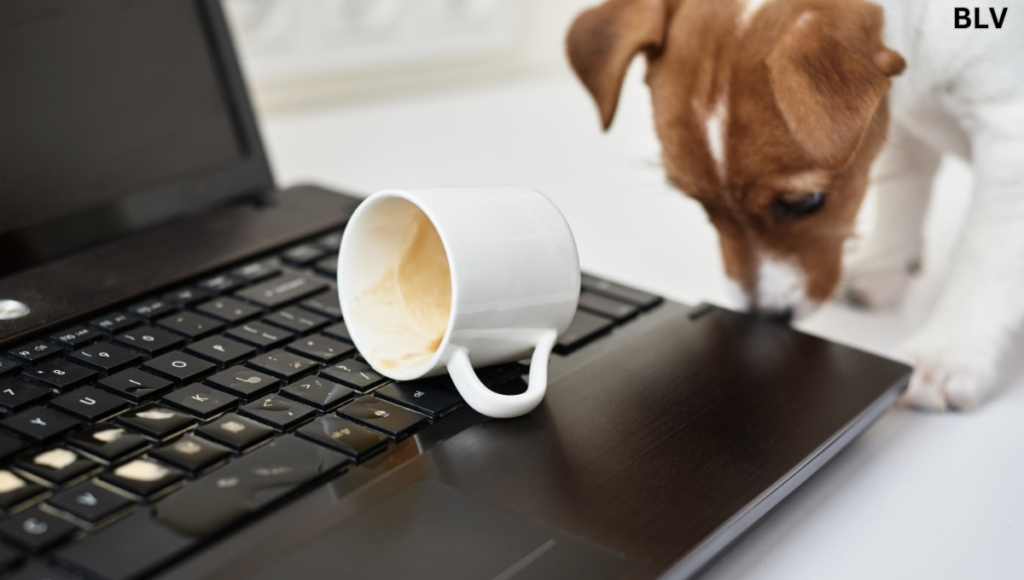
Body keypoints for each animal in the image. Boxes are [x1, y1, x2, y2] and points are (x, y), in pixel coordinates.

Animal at [569, 0, 1024, 411]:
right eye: (698, 202)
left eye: (806, 202)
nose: (765, 318)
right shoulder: (901, 123)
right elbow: (905, 195)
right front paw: (884, 270)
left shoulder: (1007, 141)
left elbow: (982, 262)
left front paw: (947, 353)